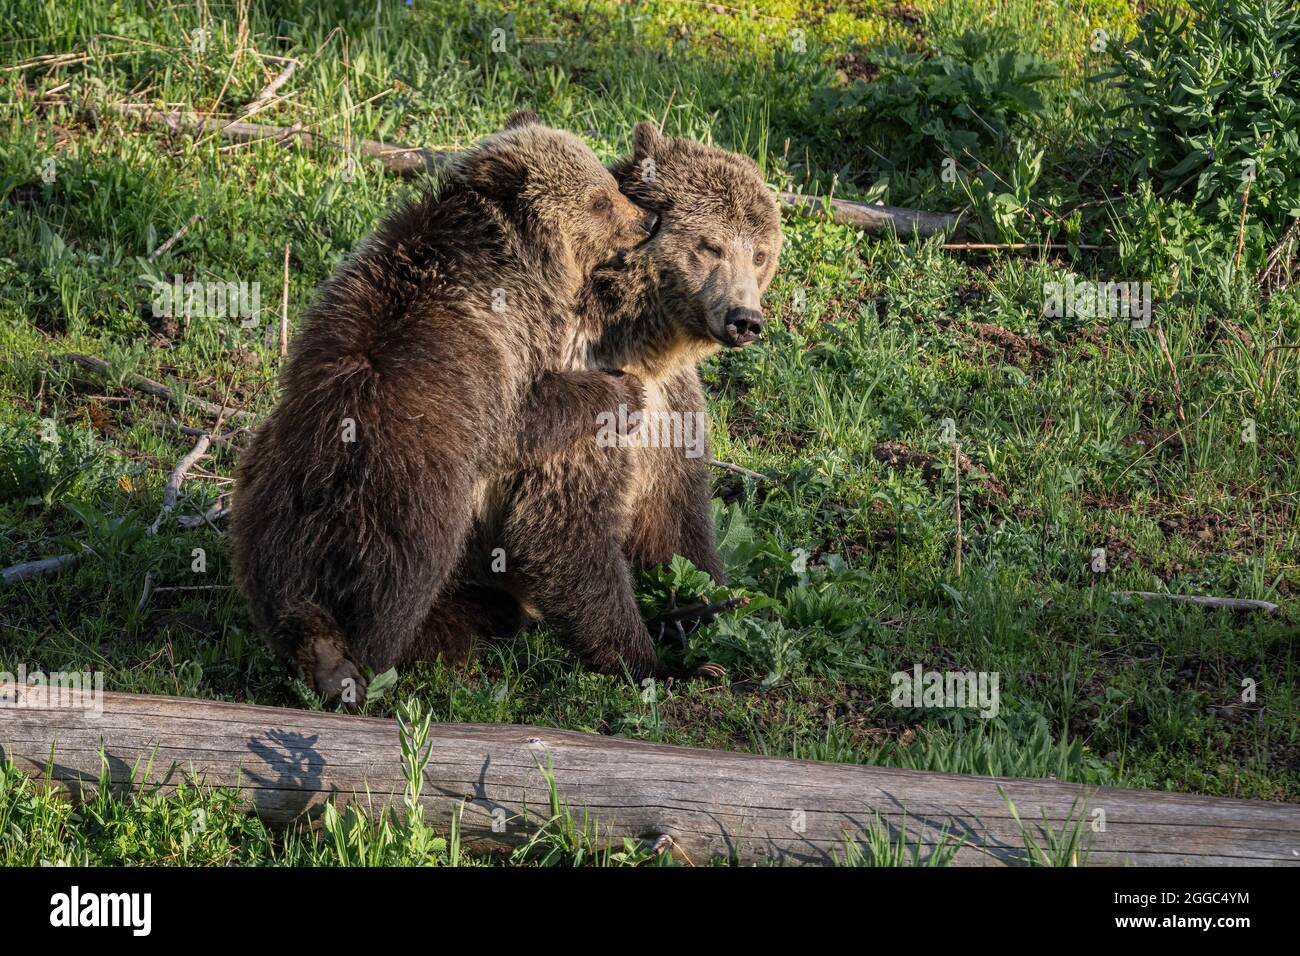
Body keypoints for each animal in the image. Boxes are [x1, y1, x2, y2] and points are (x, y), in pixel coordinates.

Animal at [228, 113, 655, 702]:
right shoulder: (501, 353)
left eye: (609, 186)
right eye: (599, 200)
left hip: (265, 493)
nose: (647, 220)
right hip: (411, 506)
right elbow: (526, 422)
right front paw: (621, 390)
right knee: (396, 607)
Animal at [408, 125, 780, 681]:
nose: (744, 319)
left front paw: (710, 612)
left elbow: (677, 514)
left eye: (759, 253)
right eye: (709, 246)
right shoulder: (581, 396)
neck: (635, 337)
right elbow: (567, 525)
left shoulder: (669, 406)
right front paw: (648, 660)